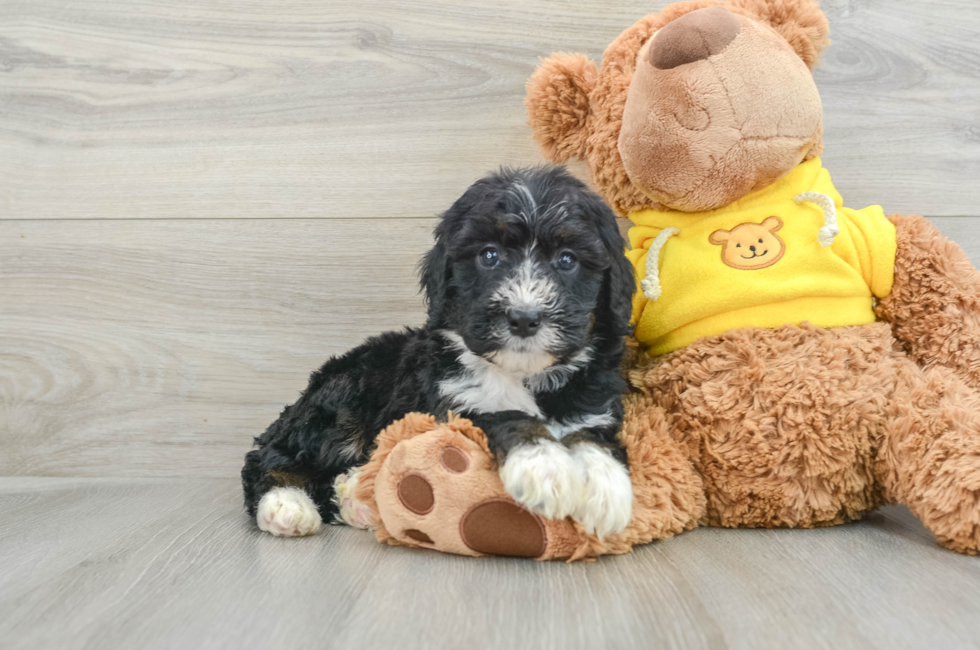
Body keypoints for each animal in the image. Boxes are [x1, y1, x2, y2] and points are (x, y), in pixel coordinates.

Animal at [241, 166, 632, 536]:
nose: (523, 318)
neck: (524, 374)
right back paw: (286, 504)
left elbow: (592, 437)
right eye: (489, 256)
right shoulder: (449, 407)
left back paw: (355, 499)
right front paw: (545, 466)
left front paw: (606, 488)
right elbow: (503, 415)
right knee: (268, 456)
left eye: (567, 260)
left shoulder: (592, 407)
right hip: (340, 401)